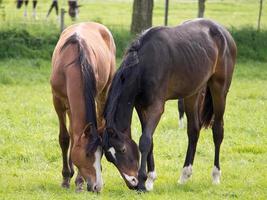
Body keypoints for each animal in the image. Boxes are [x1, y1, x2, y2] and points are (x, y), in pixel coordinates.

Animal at [50, 21, 115, 192]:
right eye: (87, 155)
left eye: (101, 154)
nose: (97, 186)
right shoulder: (58, 102)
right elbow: (65, 138)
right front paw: (66, 178)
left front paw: (79, 181)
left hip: (103, 93)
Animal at [102, 18, 237, 191]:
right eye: (110, 158)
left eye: (123, 149)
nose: (131, 183)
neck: (144, 65)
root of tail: (223, 32)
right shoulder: (140, 107)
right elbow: (150, 140)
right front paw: (150, 180)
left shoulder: (156, 108)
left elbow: (144, 141)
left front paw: (143, 182)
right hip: (192, 94)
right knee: (193, 131)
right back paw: (184, 175)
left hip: (219, 89)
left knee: (218, 130)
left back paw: (215, 176)